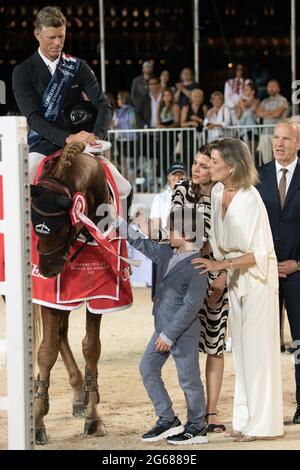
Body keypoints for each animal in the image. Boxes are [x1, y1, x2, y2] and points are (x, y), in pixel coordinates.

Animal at [30, 143, 116, 444]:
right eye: (33, 224)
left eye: (60, 227)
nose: (46, 271)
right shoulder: (49, 298)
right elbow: (46, 351)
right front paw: (37, 421)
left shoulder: (100, 297)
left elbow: (91, 348)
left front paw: (93, 417)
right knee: (56, 337)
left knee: (63, 334)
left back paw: (83, 395)